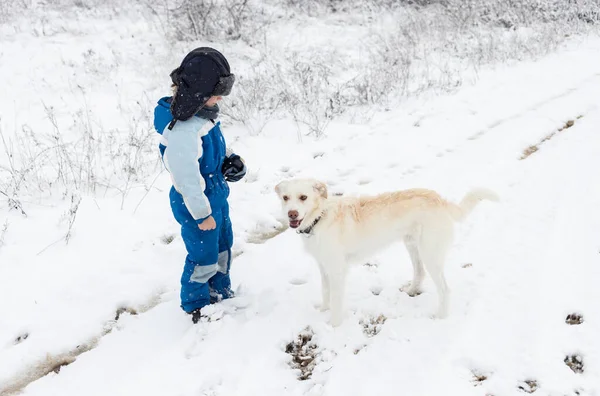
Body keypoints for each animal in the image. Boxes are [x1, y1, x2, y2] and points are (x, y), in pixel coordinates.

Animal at [276, 178, 496, 326]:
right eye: (285, 198)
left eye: (303, 197)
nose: (292, 214)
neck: (319, 218)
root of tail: (440, 200)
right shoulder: (324, 266)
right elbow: (325, 292)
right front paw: (323, 311)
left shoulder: (337, 270)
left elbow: (336, 301)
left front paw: (334, 326)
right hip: (412, 245)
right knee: (419, 272)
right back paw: (411, 291)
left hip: (430, 254)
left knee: (445, 289)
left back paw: (441, 317)